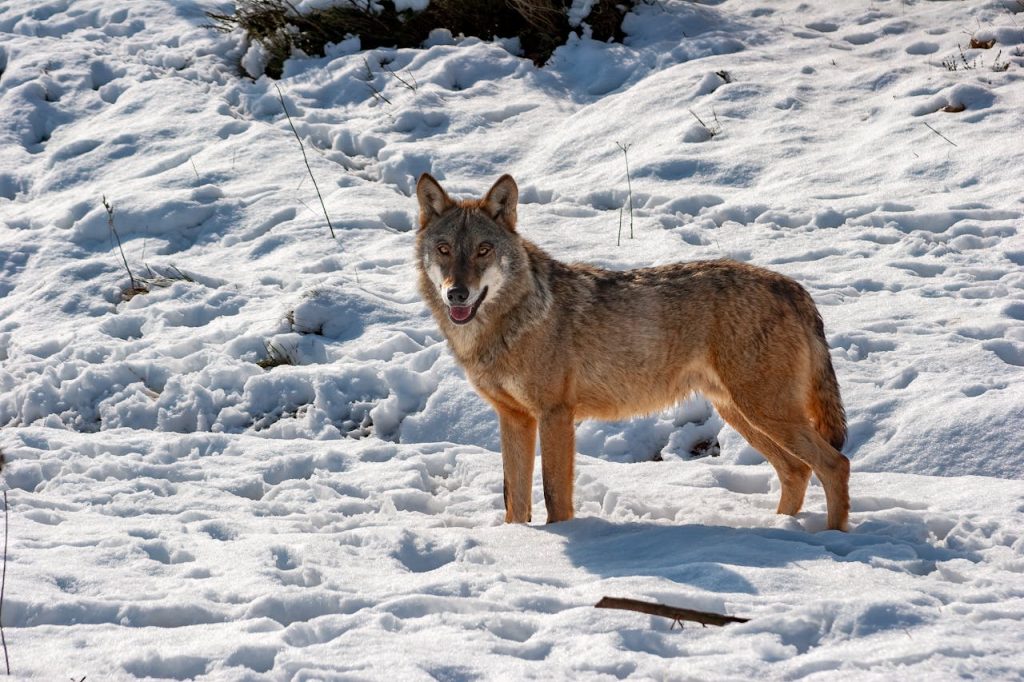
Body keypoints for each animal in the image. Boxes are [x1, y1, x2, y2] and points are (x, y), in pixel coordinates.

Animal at [414, 173, 850, 531]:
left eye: (483, 250)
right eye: (444, 249)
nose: (457, 293)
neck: (509, 323)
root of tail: (793, 287)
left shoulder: (555, 415)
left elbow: (556, 498)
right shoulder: (514, 418)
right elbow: (514, 502)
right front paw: (517, 541)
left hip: (763, 412)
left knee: (834, 464)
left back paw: (830, 539)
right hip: (741, 414)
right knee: (796, 471)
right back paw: (780, 531)